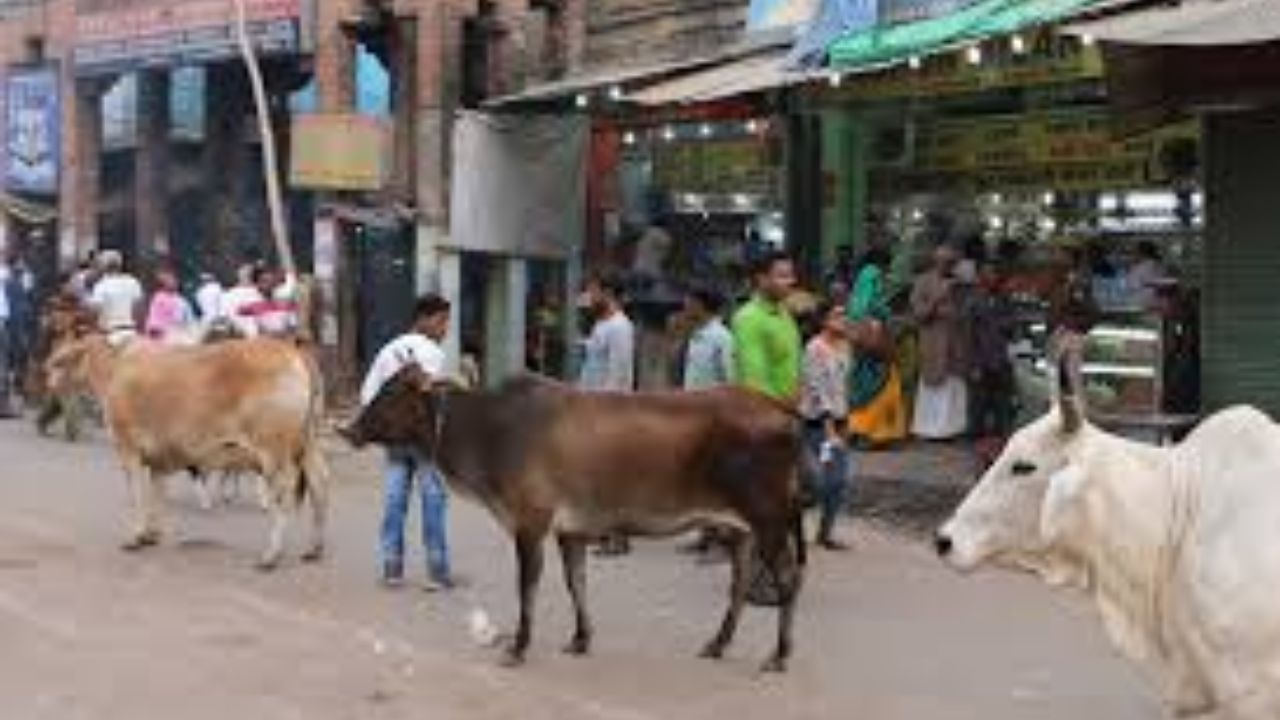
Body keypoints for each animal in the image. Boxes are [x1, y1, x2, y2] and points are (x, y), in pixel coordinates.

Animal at [45, 335, 328, 570]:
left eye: (59, 362)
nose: (48, 382)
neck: (115, 371)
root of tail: (292, 350)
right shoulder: (157, 461)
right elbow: (157, 494)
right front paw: (151, 535)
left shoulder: (129, 451)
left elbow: (139, 495)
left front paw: (136, 537)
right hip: (309, 448)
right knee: (319, 489)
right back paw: (314, 550)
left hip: (274, 453)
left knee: (283, 496)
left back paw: (270, 556)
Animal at [341, 365, 806, 672]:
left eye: (392, 393)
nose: (348, 430)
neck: (490, 430)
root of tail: (780, 407)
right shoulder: (571, 531)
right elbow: (575, 583)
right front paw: (581, 639)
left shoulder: (529, 524)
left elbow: (527, 588)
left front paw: (518, 647)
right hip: (740, 529)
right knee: (740, 583)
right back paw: (717, 643)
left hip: (768, 521)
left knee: (787, 580)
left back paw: (780, 654)